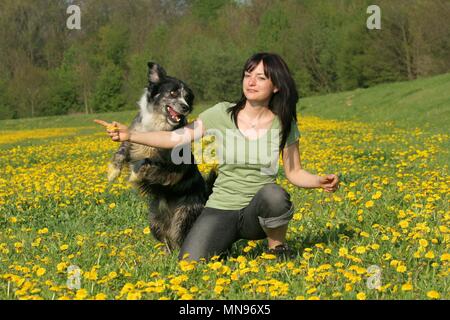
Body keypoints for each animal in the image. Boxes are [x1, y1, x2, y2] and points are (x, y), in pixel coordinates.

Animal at [107, 62, 216, 251]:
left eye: (187, 97)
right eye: (172, 93)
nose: (186, 107)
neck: (159, 124)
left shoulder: (173, 164)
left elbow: (151, 162)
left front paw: (136, 175)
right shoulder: (135, 136)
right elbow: (122, 149)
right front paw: (113, 171)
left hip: (183, 216)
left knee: (179, 239)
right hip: (154, 219)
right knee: (166, 239)